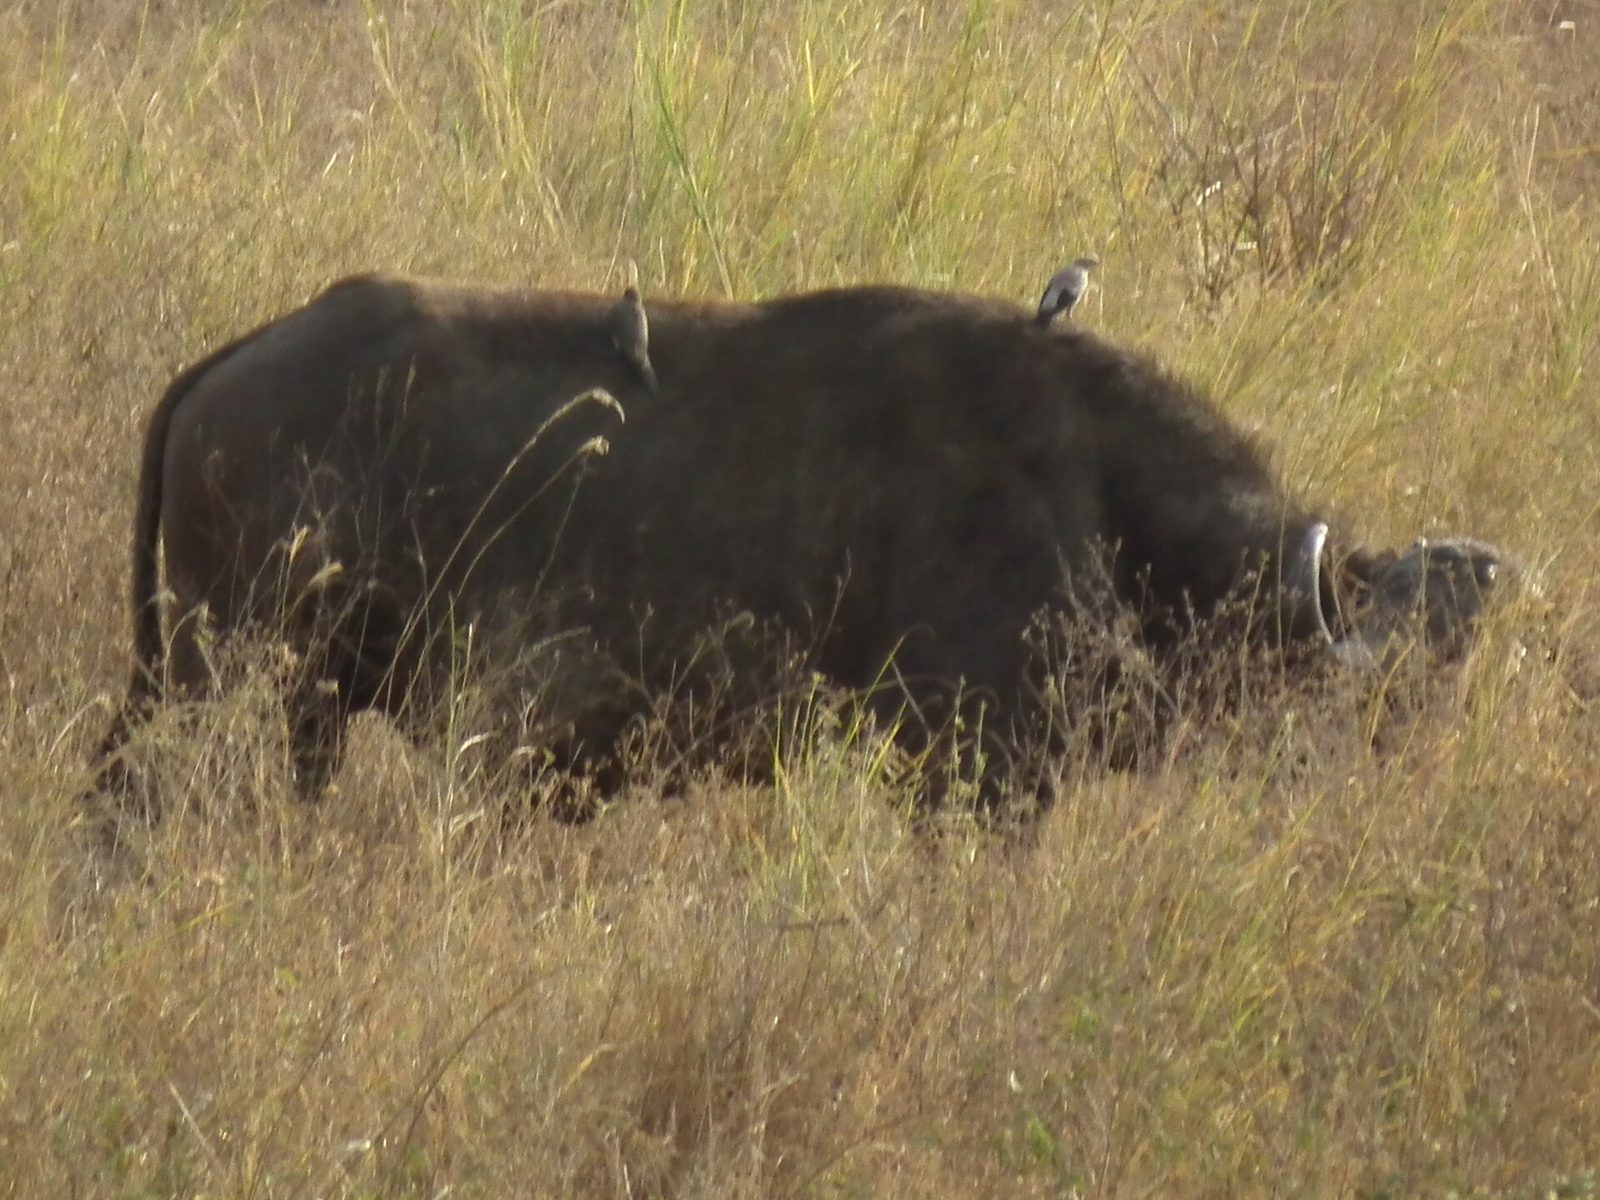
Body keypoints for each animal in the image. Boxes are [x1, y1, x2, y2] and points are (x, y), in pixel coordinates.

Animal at [91, 274, 1505, 812]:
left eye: (1454, 691)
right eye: (1385, 706)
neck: (1099, 495)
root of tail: (232, 363)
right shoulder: (976, 776)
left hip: (290, 701)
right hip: (224, 674)